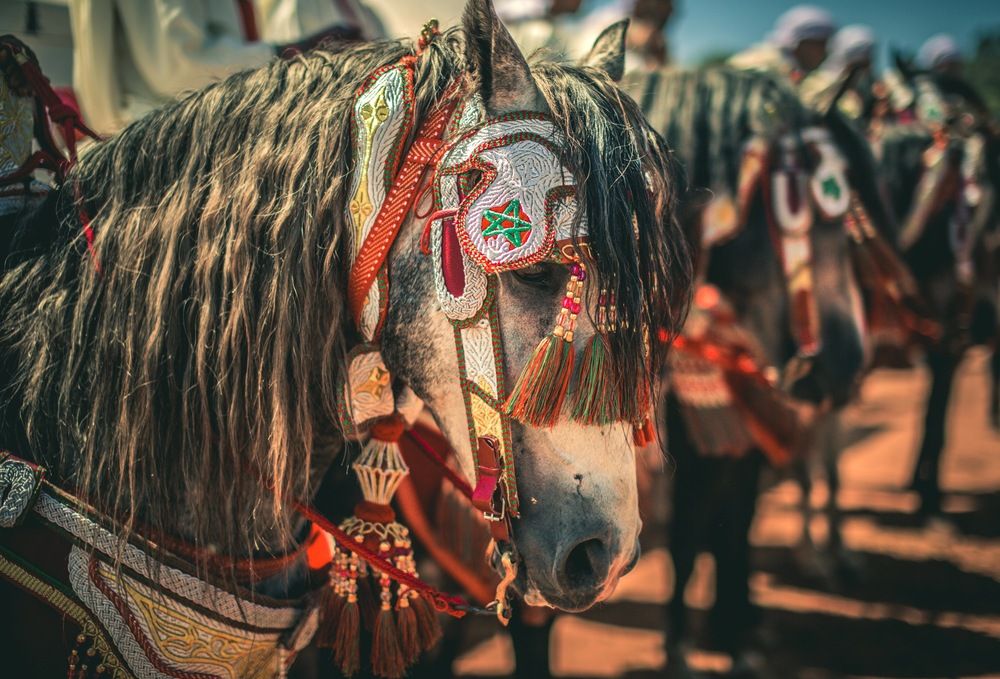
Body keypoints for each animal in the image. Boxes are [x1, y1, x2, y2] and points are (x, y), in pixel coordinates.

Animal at [624, 64, 868, 668]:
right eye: (793, 213)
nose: (847, 364)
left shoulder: (741, 429)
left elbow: (733, 525)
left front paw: (735, 637)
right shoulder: (692, 436)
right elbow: (692, 531)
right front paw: (680, 650)